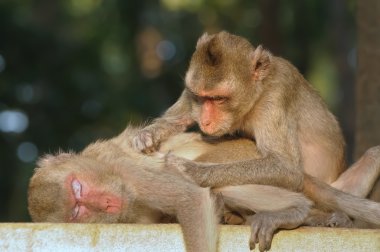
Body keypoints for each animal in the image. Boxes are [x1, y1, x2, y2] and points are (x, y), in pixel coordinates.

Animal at [28, 126, 380, 252]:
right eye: (77, 210)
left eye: (78, 187)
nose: (104, 203)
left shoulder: (125, 170)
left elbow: (191, 197)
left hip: (248, 157)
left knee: (208, 178)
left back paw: (295, 210)